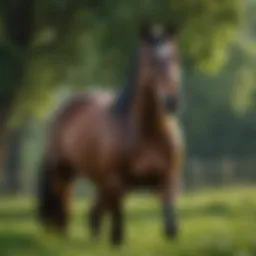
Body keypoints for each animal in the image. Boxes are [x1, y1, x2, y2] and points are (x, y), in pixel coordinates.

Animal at [37, 24, 185, 246]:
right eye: (151, 61)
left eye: (174, 58)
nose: (171, 101)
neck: (146, 133)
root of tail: (62, 110)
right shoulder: (116, 180)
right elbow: (118, 224)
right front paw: (116, 240)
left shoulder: (168, 177)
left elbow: (170, 227)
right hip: (62, 172)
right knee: (63, 202)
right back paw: (61, 235)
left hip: (99, 180)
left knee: (93, 210)